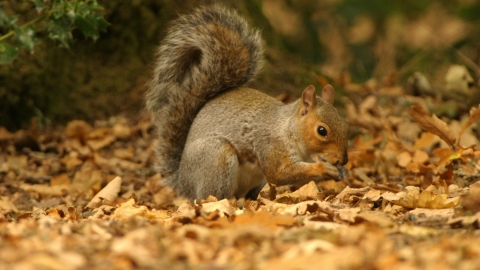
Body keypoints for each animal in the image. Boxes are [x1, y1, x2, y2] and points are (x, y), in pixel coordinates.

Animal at [146, 6, 348, 200]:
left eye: (345, 124)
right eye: (322, 131)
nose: (344, 160)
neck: (287, 129)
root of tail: (182, 184)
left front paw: (342, 172)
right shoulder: (270, 146)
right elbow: (278, 173)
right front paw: (323, 169)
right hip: (217, 157)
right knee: (210, 196)